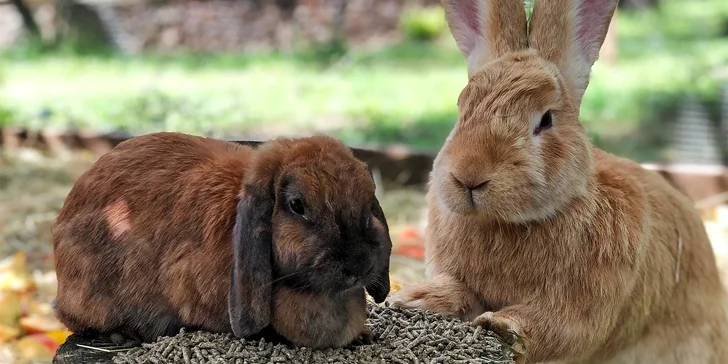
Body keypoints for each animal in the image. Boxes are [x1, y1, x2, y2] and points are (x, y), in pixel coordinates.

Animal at [390, 0, 728, 364]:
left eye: (546, 119)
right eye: (461, 108)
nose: (469, 176)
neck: (508, 223)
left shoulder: (586, 302)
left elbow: (559, 327)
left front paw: (503, 329)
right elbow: (459, 291)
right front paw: (415, 298)